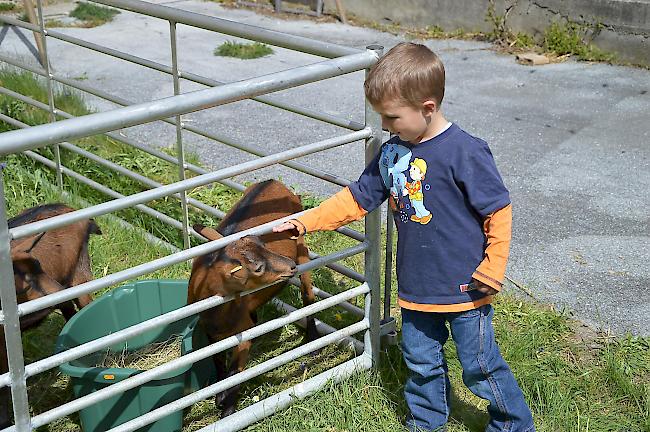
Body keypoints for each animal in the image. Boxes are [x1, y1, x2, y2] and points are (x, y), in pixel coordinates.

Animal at [186, 178, 316, 416]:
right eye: (257, 267)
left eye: (264, 245)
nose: (290, 266)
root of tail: (274, 182)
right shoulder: (210, 331)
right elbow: (218, 361)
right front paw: (219, 394)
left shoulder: (244, 335)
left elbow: (236, 373)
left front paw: (226, 406)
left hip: (302, 246)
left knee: (308, 295)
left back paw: (313, 343)